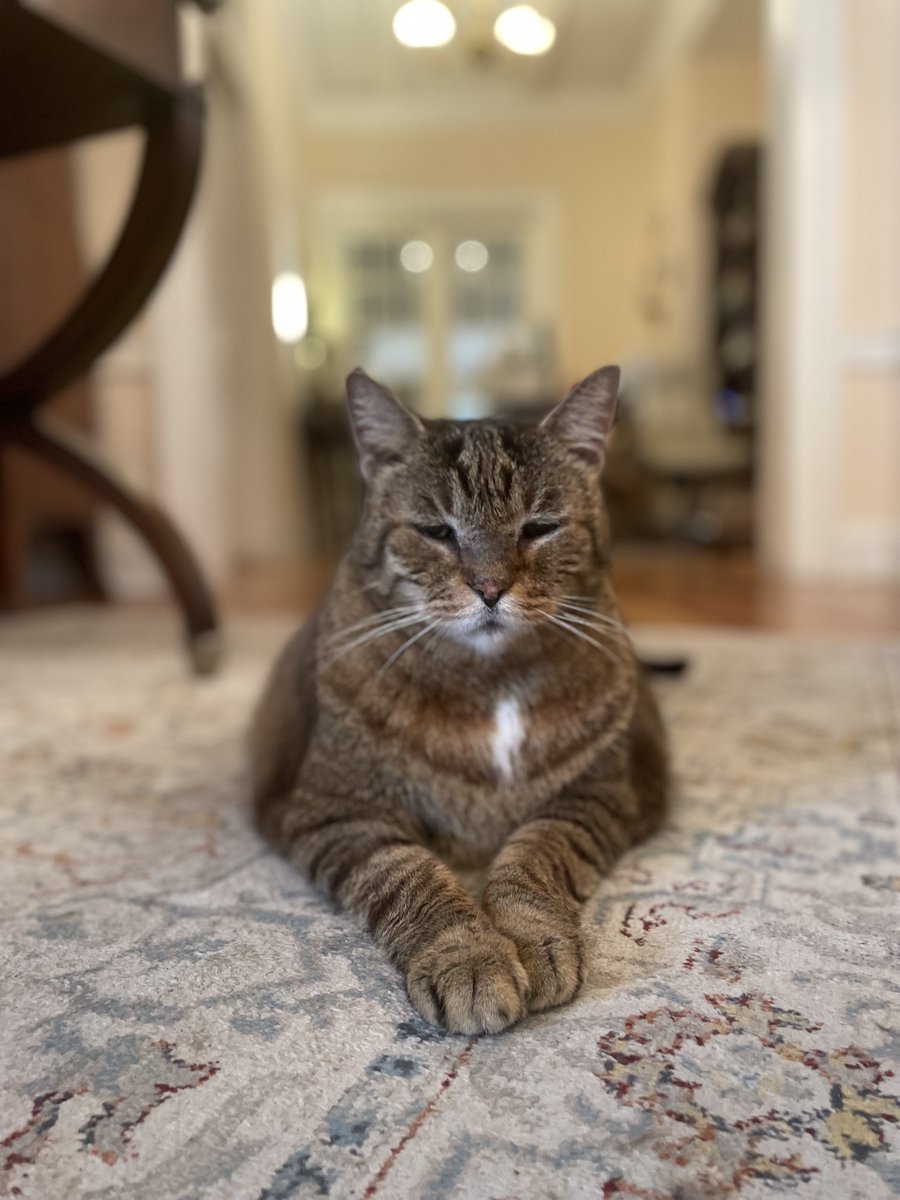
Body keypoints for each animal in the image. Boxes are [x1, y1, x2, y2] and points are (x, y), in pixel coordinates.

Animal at [248, 364, 672, 1032]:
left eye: (540, 527)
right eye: (436, 532)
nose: (490, 587)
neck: (489, 680)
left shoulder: (599, 796)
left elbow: (536, 855)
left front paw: (529, 939)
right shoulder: (336, 811)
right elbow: (408, 874)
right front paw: (470, 957)